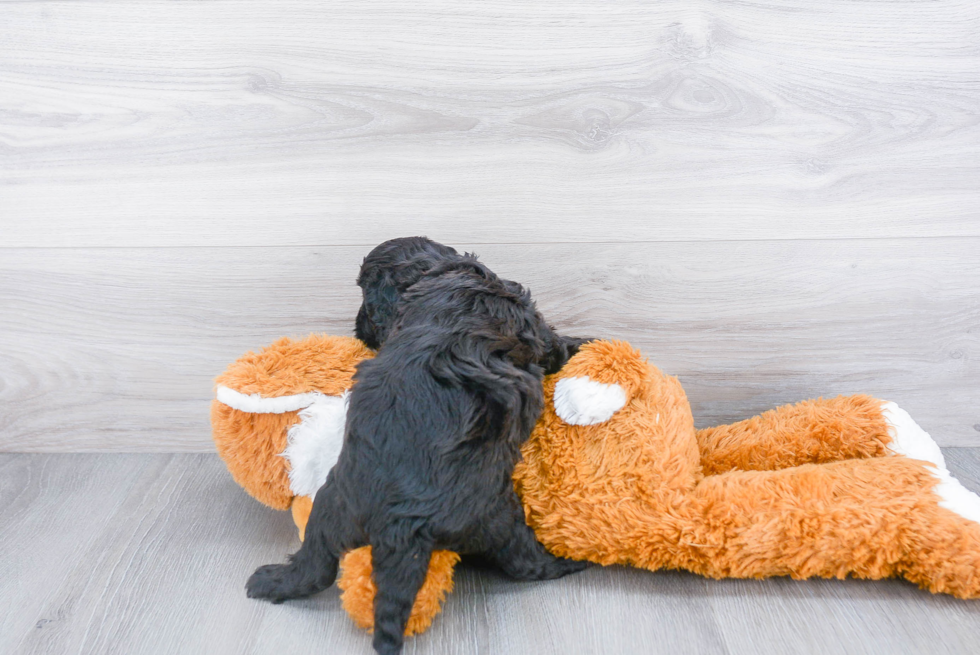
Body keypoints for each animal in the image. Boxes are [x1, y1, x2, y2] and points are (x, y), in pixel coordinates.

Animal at [249, 241, 584, 655]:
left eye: (366, 301)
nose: (357, 328)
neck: (435, 271)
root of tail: (398, 525)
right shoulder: (530, 323)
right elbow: (554, 345)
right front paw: (582, 344)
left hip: (330, 510)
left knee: (315, 566)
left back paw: (270, 581)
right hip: (494, 517)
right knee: (527, 563)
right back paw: (568, 562)